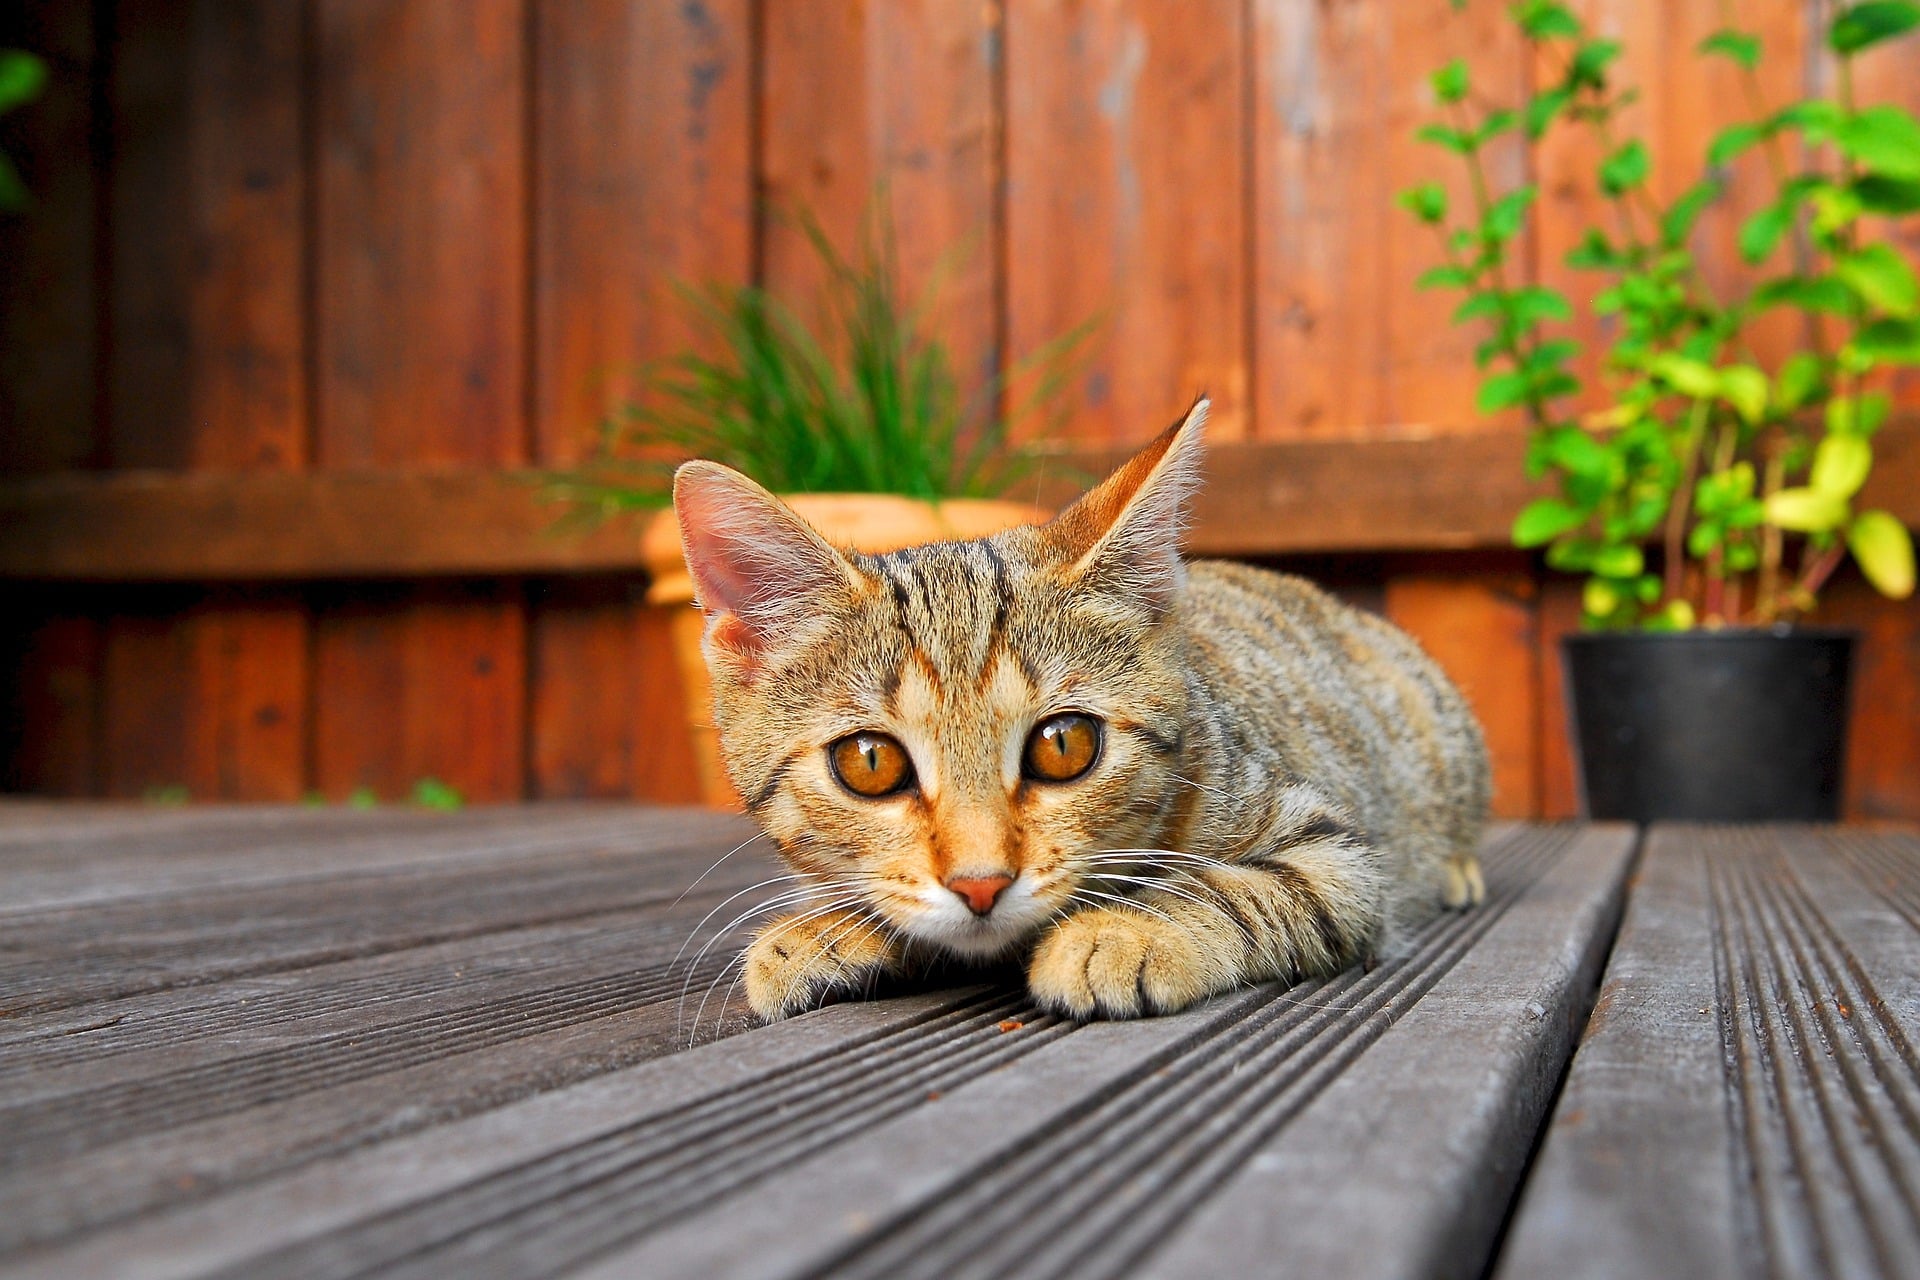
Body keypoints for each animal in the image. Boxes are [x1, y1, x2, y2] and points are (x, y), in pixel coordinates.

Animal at [675, 401, 1497, 1020]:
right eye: (869, 762)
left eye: (1064, 744)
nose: (980, 884)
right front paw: (824, 930)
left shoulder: (1338, 859)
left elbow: (1236, 889)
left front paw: (1128, 932)